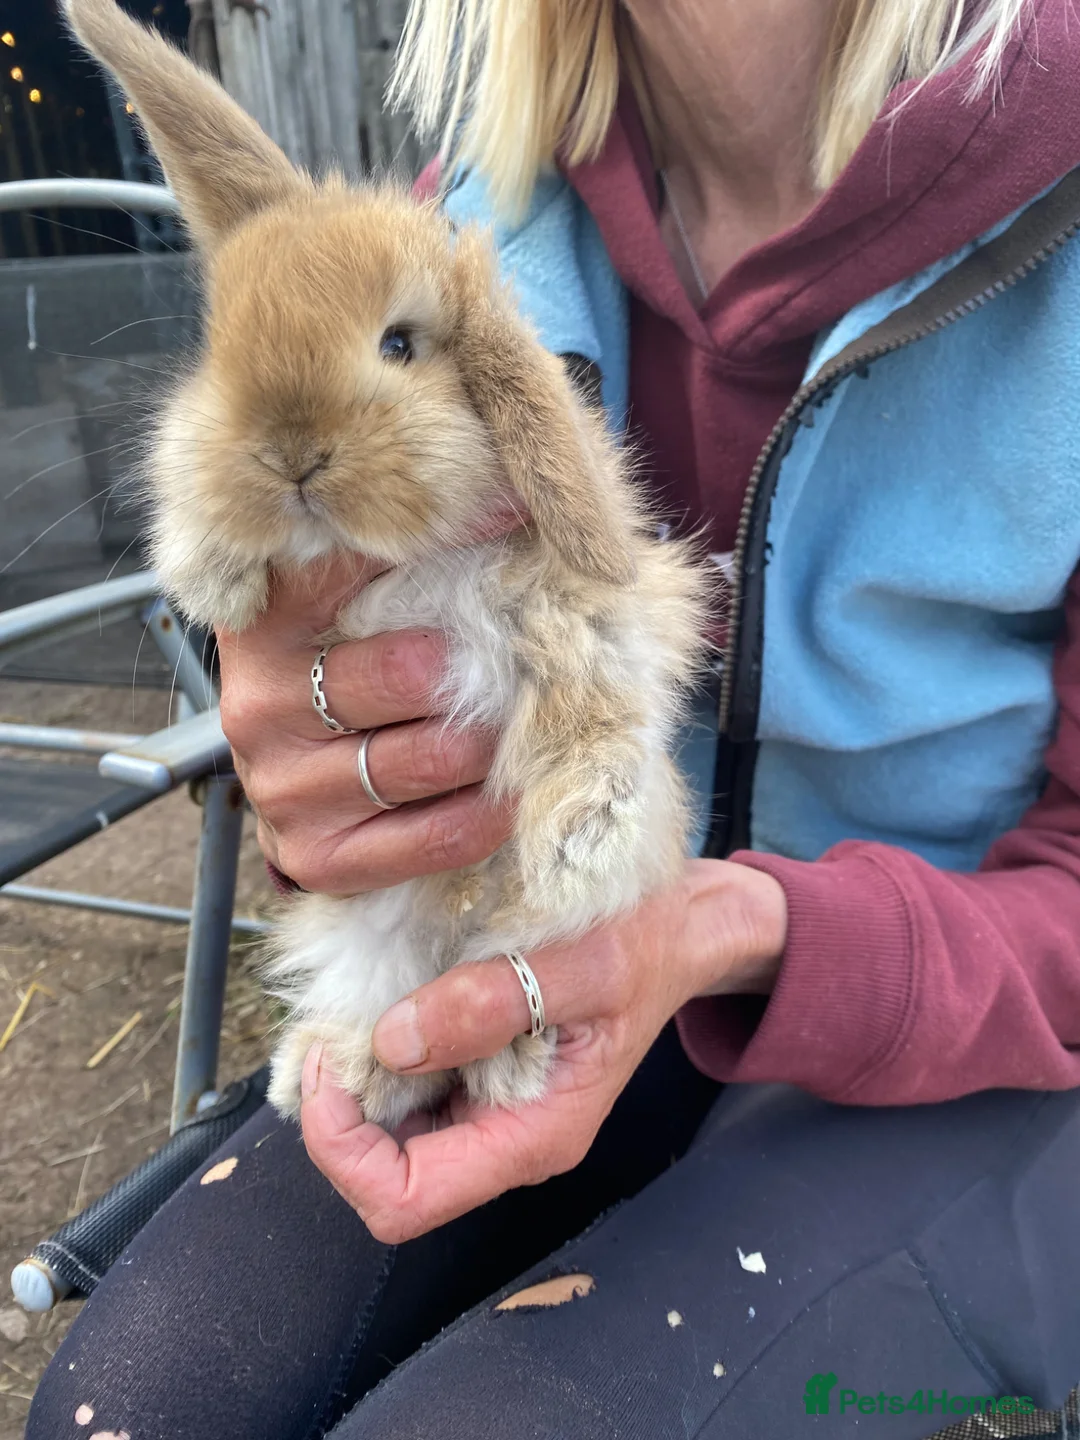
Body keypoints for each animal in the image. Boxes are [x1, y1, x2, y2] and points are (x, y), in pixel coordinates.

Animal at [65, 0, 711, 1130]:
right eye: (223, 343)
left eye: (401, 345)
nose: (291, 454)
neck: (389, 555)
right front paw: (221, 575)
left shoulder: (569, 614)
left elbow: (597, 707)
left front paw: (576, 834)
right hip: (375, 945)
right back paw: (336, 1076)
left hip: (512, 940)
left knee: (501, 968)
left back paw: (512, 1051)